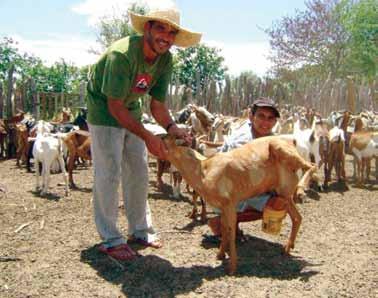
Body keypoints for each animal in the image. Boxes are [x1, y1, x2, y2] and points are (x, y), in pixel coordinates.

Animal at [165, 135, 316, 274]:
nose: (171, 171)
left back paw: (301, 188)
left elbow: (230, 230)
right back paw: (287, 248)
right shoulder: (223, 207)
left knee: (312, 165)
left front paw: (232, 268)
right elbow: (224, 228)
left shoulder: (230, 203)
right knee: (297, 217)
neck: (203, 170)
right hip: (284, 193)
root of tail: (292, 141)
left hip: (282, 155)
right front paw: (220, 255)